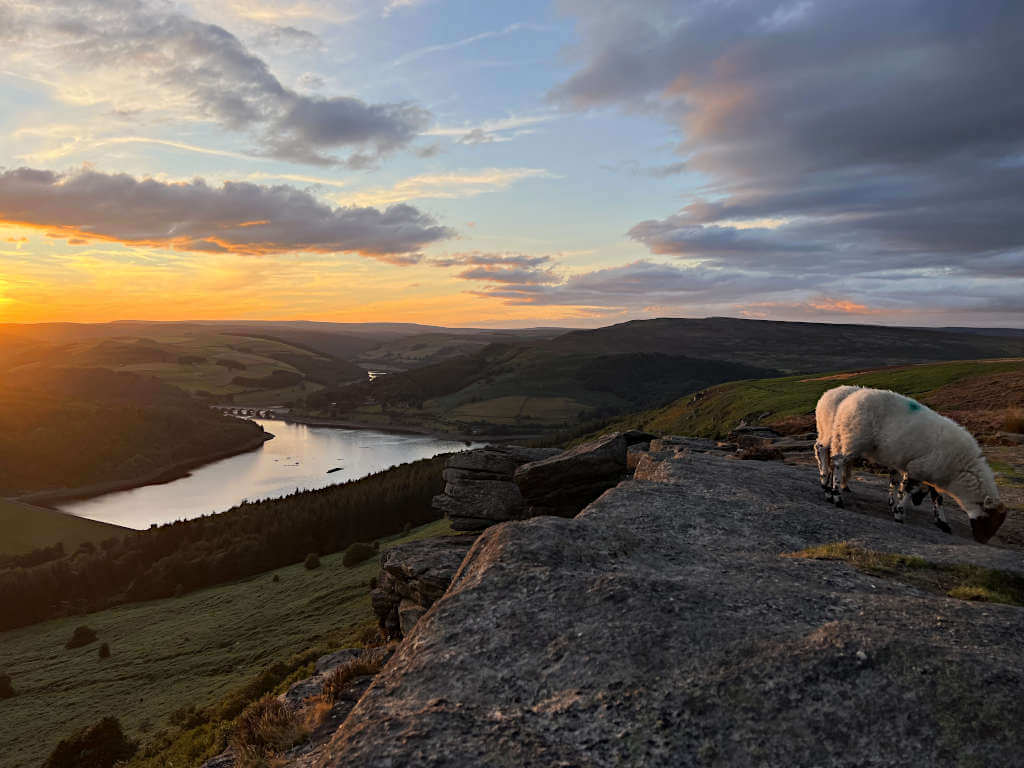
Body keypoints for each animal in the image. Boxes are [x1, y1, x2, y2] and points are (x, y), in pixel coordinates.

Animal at [827, 387, 1003, 544]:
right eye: (990, 518)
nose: (982, 541)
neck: (959, 471)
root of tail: (847, 401)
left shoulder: (932, 473)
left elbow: (937, 498)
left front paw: (942, 523)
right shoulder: (918, 469)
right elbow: (908, 491)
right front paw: (899, 515)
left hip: (841, 437)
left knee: (833, 461)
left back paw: (830, 492)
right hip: (853, 440)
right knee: (838, 463)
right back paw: (837, 497)